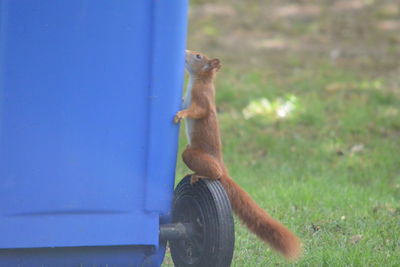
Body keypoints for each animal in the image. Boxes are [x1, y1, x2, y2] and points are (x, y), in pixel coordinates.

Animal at [173, 50, 302, 262]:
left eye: (198, 56)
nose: (185, 52)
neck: (199, 80)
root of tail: (222, 165)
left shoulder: (202, 99)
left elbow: (198, 111)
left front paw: (182, 114)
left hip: (194, 155)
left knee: (214, 172)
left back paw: (200, 175)